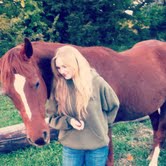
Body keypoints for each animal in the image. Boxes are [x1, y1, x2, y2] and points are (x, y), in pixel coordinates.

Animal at [0, 38, 166, 165]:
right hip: (151, 105)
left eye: (36, 83)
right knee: (155, 126)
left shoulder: (106, 126)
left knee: (160, 130)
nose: (38, 138)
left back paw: (153, 160)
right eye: (7, 94)